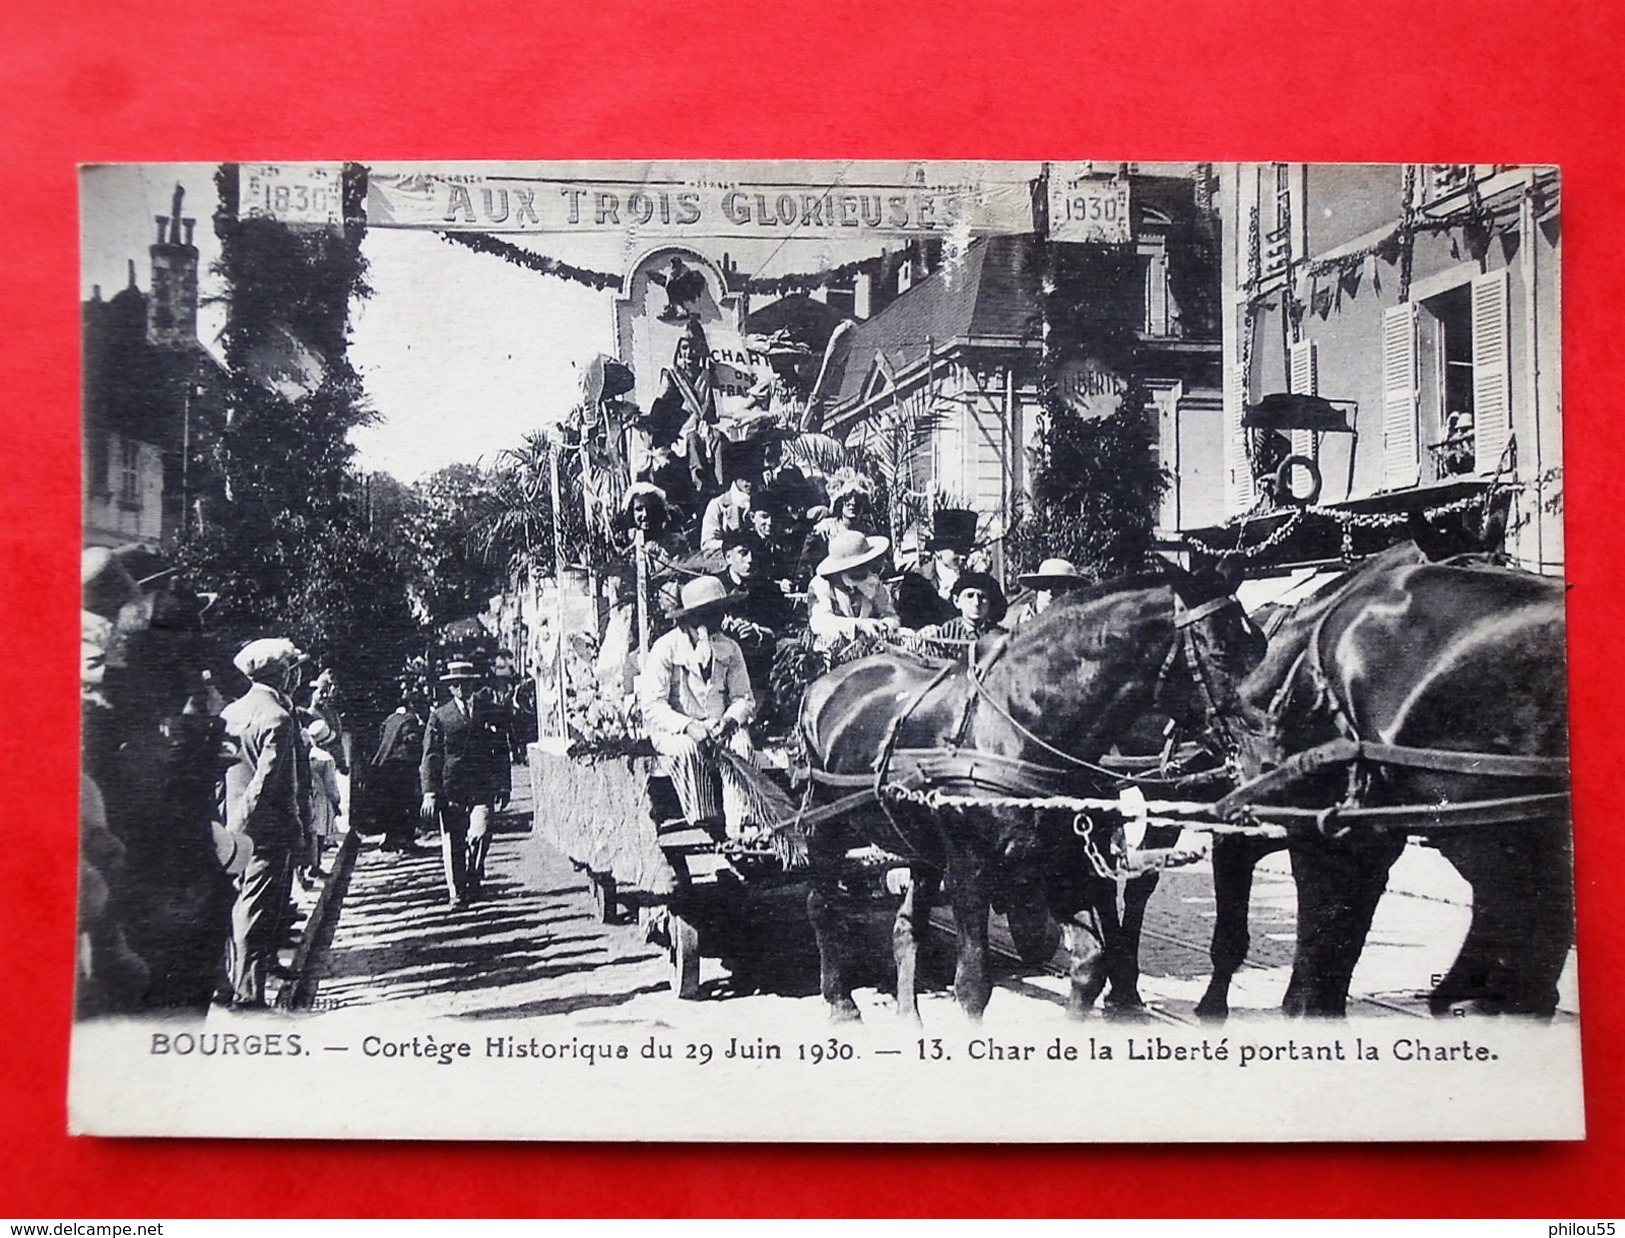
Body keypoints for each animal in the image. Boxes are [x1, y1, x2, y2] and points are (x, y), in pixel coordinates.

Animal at [793, 565, 1261, 1020]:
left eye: (1258, 639)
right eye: (1221, 651)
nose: (1264, 745)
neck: (1019, 725)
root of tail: (826, 681)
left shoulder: (1066, 867)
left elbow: (1090, 967)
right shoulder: (968, 873)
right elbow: (973, 987)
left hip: (920, 846)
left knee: (906, 926)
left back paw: (909, 1017)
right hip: (824, 823)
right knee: (821, 904)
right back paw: (841, 1002)